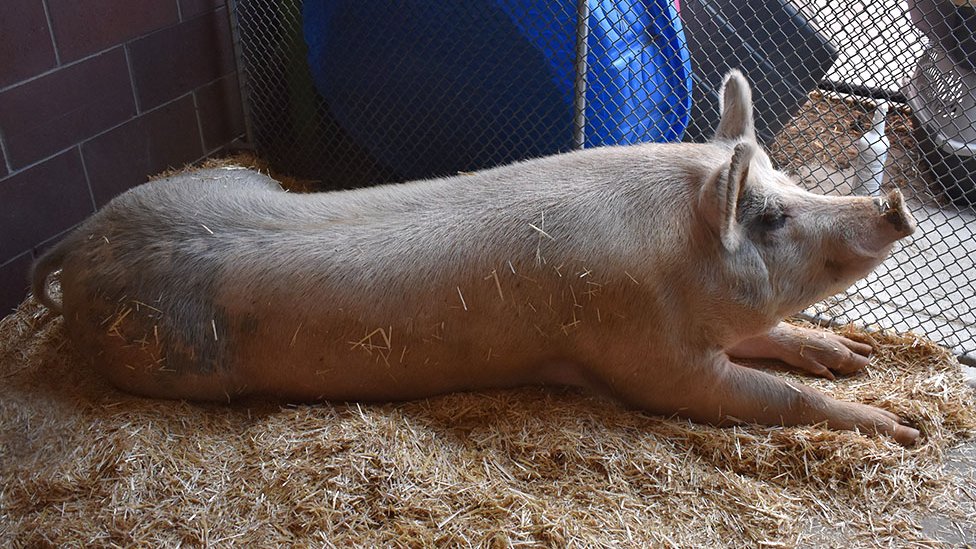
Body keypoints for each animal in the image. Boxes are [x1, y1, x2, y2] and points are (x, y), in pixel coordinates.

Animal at [28, 70, 924, 444]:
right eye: (769, 216)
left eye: (788, 181)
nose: (894, 203)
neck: (679, 268)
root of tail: (77, 246)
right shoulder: (646, 359)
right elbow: (768, 396)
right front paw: (901, 426)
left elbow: (775, 337)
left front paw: (856, 355)